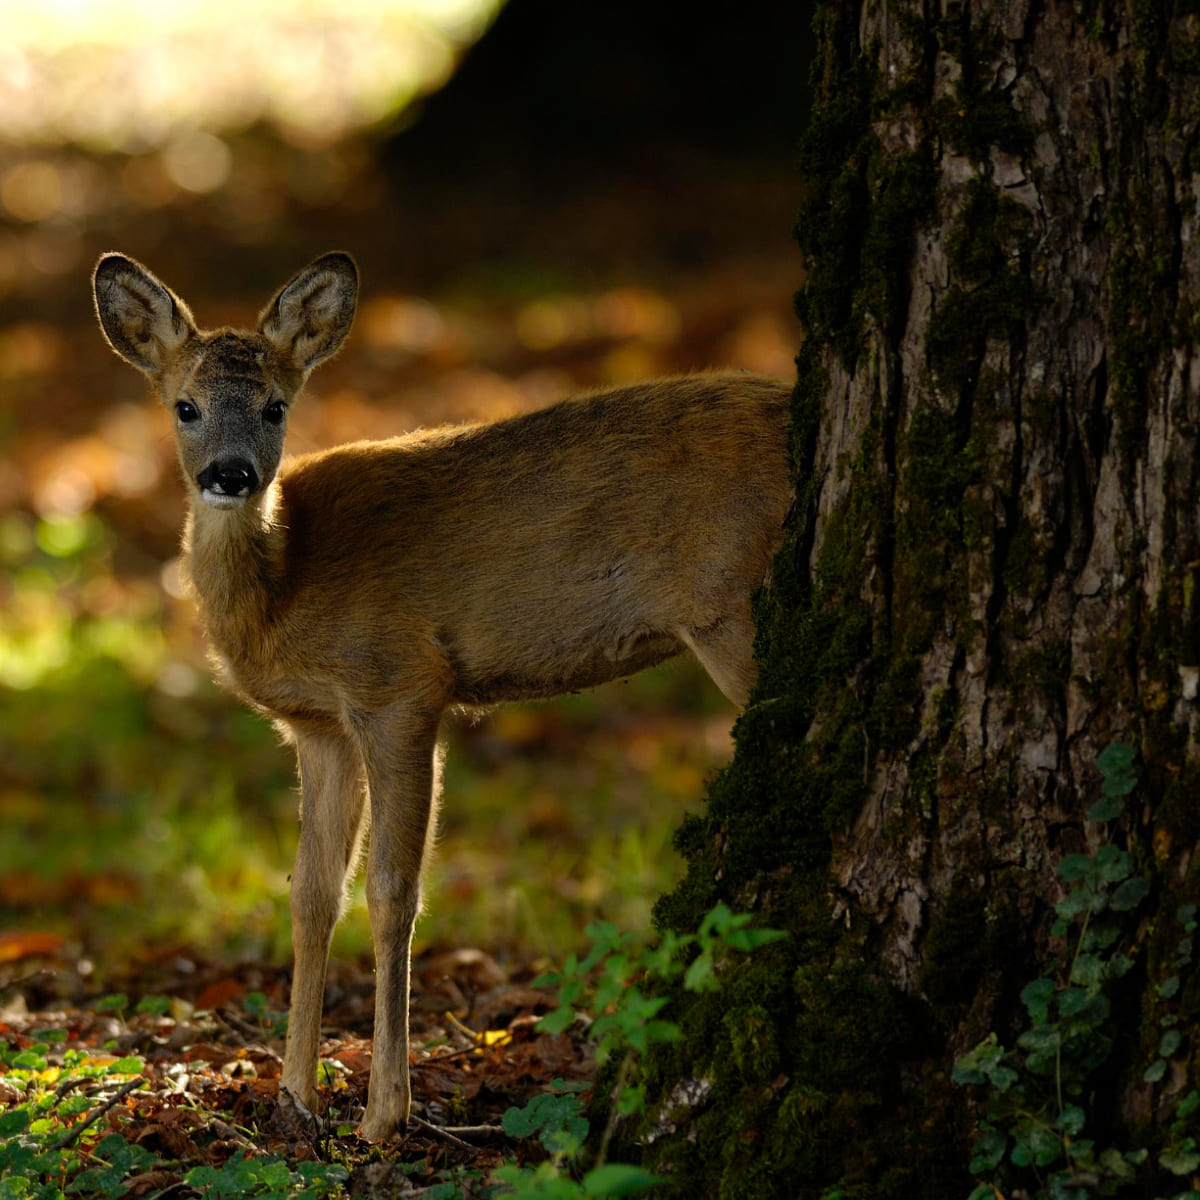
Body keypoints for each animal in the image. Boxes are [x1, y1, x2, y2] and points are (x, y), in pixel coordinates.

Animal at [88, 250, 792, 1132]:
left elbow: (393, 891)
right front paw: (294, 1099)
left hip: (730, 604)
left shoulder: (400, 685)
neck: (285, 585)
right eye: (185, 406)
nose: (230, 474)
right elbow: (311, 895)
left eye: (277, 406)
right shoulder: (318, 727)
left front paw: (383, 1113)